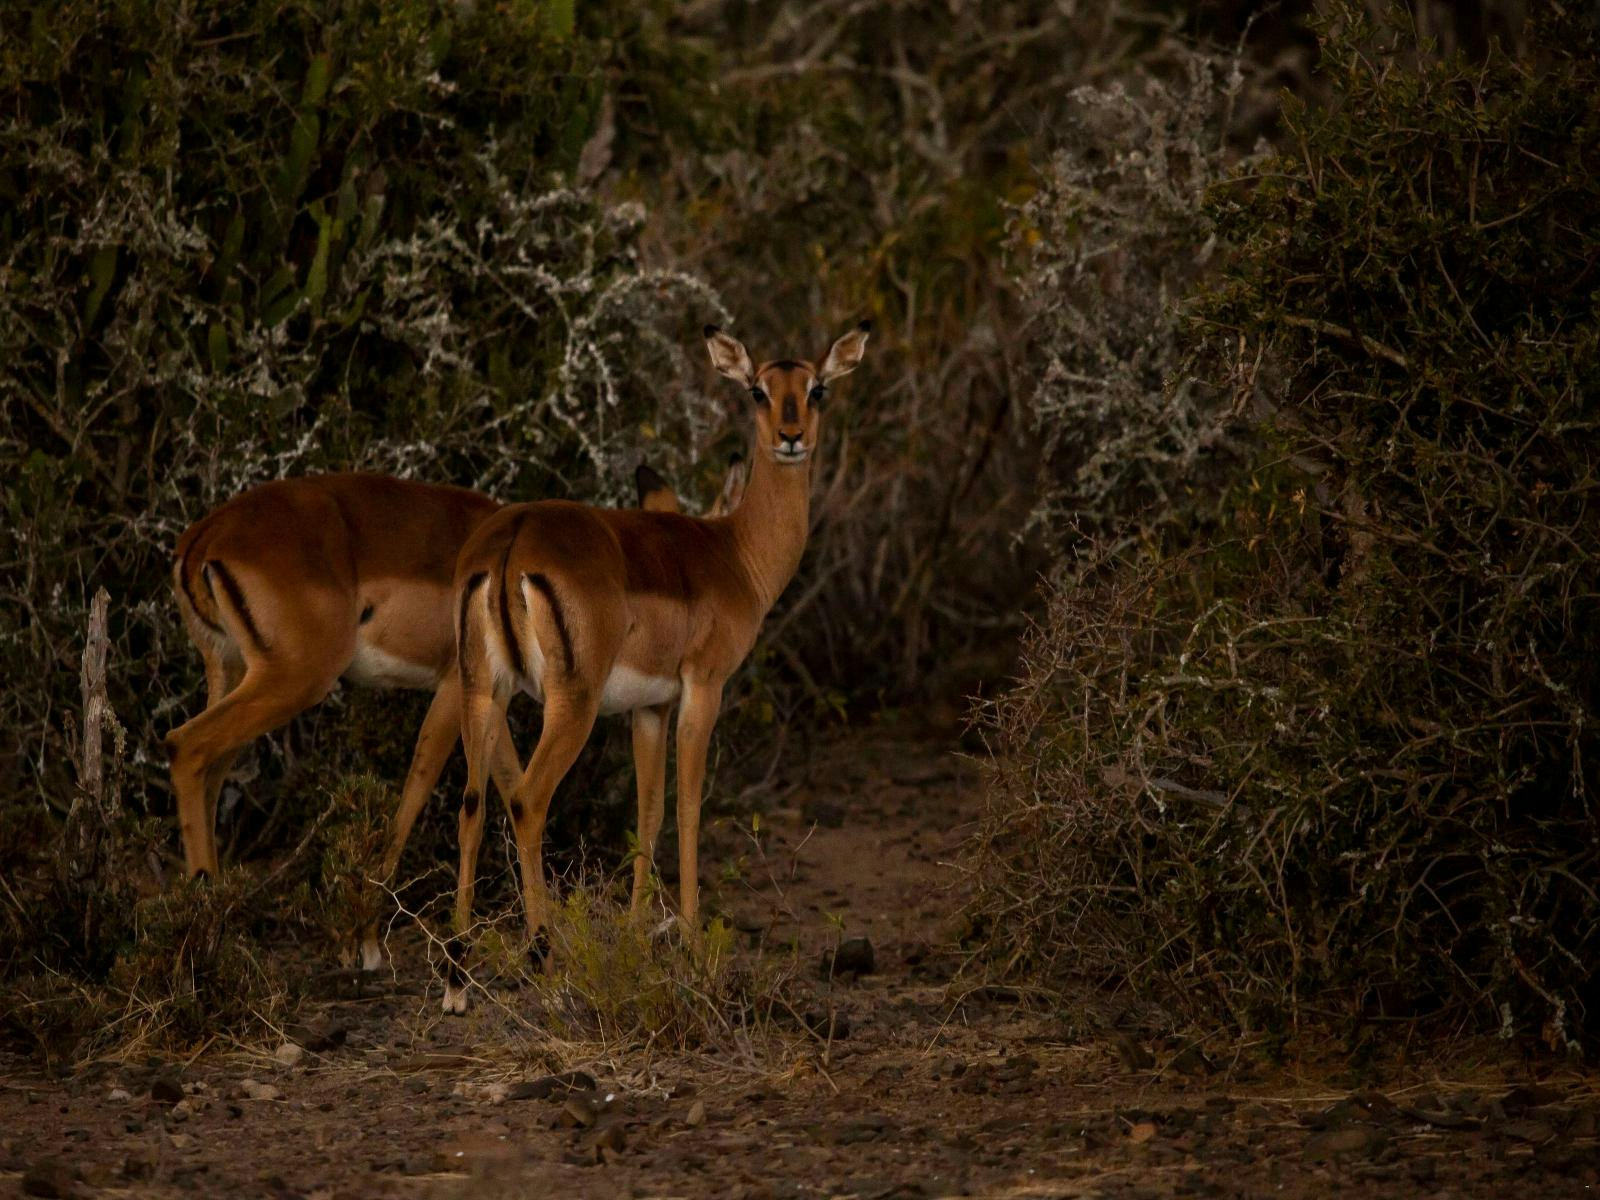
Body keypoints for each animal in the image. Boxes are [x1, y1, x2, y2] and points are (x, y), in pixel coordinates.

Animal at [164, 460, 727, 971]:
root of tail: (203, 538)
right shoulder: (459, 685)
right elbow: (426, 785)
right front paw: (367, 941)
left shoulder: (483, 696)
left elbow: (501, 783)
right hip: (293, 678)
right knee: (186, 746)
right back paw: (205, 939)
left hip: (231, 669)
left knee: (209, 771)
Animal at [444, 320, 869, 1013]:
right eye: (757, 390)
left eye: (818, 389)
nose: (790, 437)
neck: (734, 553)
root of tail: (512, 541)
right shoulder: (703, 688)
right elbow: (690, 806)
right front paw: (692, 948)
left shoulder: (647, 708)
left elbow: (647, 813)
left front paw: (639, 937)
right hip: (572, 702)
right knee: (528, 800)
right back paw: (544, 962)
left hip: (484, 691)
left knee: (473, 806)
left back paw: (458, 978)